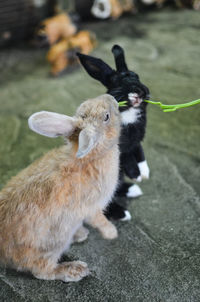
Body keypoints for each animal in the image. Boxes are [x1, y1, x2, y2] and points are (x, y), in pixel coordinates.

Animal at [0, 94, 120, 284]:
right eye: (106, 117)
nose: (111, 97)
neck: (90, 157)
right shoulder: (92, 207)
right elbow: (99, 220)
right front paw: (111, 233)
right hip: (55, 240)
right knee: (41, 270)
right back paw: (75, 270)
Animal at [76, 46, 150, 222]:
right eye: (117, 82)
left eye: (137, 76)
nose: (139, 92)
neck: (128, 113)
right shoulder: (117, 148)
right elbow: (127, 158)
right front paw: (136, 174)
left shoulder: (136, 142)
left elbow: (140, 153)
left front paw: (145, 173)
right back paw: (123, 213)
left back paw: (133, 189)